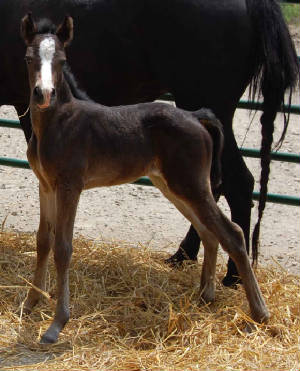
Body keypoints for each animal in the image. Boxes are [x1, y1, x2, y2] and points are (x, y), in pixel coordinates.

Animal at [0, 0, 298, 288]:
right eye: (27, 59)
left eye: (61, 61)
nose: (43, 94)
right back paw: (187, 257)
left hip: (206, 103)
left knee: (237, 185)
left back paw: (232, 276)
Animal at [21, 14, 270, 346]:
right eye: (28, 58)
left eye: (62, 60)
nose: (43, 93)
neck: (59, 121)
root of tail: (195, 116)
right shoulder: (45, 185)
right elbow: (43, 241)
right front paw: (31, 303)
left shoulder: (70, 186)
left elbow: (63, 247)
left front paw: (56, 323)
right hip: (174, 185)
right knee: (209, 232)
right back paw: (205, 296)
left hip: (189, 184)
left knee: (232, 233)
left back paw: (259, 312)